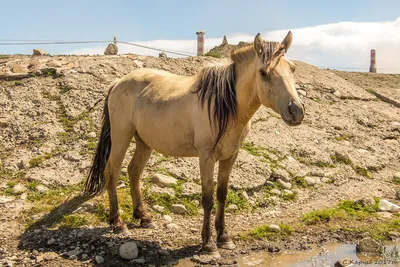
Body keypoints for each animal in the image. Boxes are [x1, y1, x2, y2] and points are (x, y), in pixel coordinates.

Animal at [84, 30, 304, 258]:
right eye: (263, 72)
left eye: (292, 68)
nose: (296, 111)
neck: (225, 107)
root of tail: (118, 82)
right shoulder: (206, 158)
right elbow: (207, 198)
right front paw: (208, 243)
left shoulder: (230, 157)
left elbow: (222, 194)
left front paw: (224, 237)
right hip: (121, 137)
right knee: (112, 172)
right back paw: (118, 223)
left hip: (144, 142)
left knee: (134, 171)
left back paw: (143, 217)